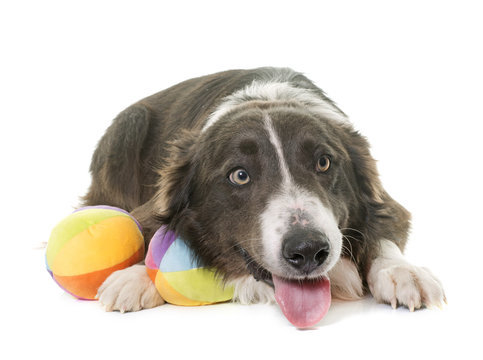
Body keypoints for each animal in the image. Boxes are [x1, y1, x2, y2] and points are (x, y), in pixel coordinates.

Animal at [85, 67, 448, 326]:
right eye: (239, 175)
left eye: (324, 162)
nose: (308, 250)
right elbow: (143, 225)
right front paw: (137, 277)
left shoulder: (386, 202)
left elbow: (383, 228)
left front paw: (401, 271)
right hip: (129, 124)